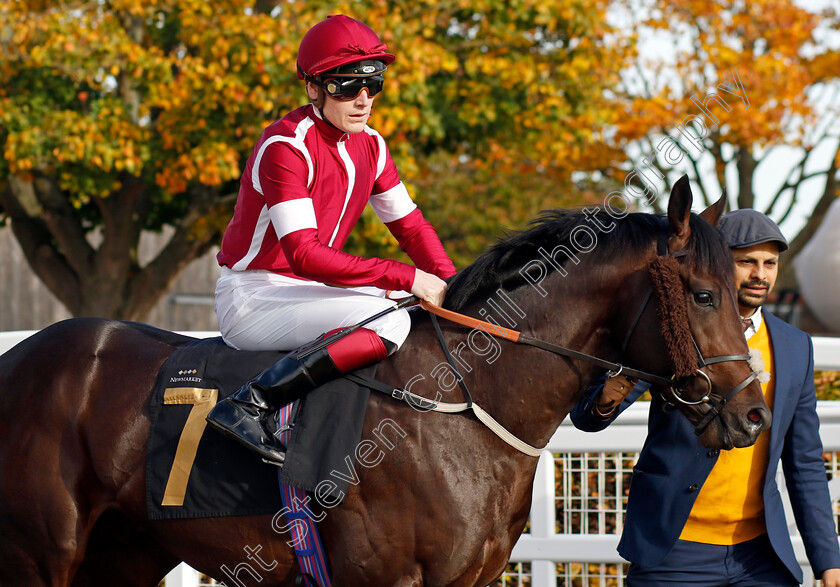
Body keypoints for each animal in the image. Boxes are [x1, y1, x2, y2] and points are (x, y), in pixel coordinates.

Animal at [0, 180, 768, 587]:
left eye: (740, 294)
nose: (753, 416)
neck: (463, 404)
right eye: (704, 295)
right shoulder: (387, 577)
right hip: (41, 554)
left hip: (124, 552)